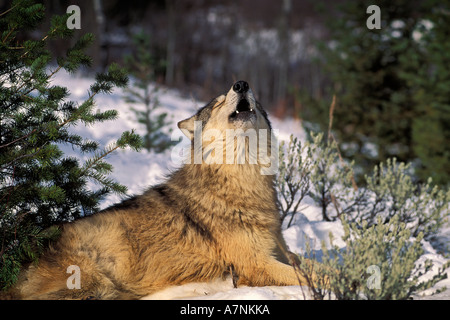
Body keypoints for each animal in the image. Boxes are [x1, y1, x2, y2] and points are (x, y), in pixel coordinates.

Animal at [10, 80, 312, 300]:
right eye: (218, 102)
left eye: (257, 103)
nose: (241, 84)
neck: (243, 180)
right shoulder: (256, 264)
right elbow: (312, 273)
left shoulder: (276, 253)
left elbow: (304, 263)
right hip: (96, 285)